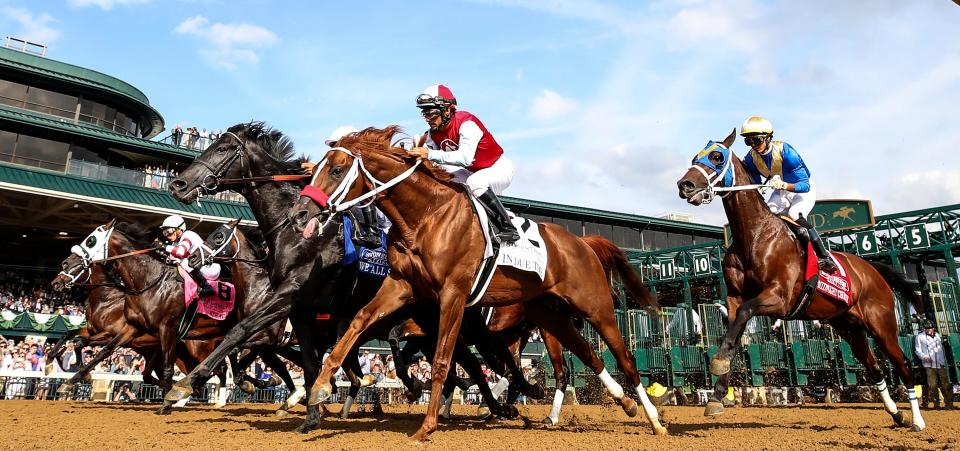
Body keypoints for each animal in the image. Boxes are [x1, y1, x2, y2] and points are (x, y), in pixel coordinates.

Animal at [290, 125, 668, 440]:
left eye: (337, 170)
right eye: (319, 167)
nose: (299, 213)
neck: (426, 217)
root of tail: (582, 242)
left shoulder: (453, 295)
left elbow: (443, 362)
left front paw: (427, 427)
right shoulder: (401, 286)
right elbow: (357, 323)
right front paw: (320, 387)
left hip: (595, 307)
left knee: (624, 359)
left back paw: (654, 420)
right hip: (549, 315)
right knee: (588, 354)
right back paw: (623, 403)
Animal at [680, 130, 928, 430]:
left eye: (717, 157)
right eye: (695, 157)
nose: (684, 185)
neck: (754, 235)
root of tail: (872, 269)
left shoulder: (780, 299)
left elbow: (745, 314)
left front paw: (718, 366)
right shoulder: (735, 297)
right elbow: (735, 331)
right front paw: (717, 394)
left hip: (882, 325)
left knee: (903, 364)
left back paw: (917, 420)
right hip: (849, 327)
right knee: (874, 367)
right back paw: (896, 414)